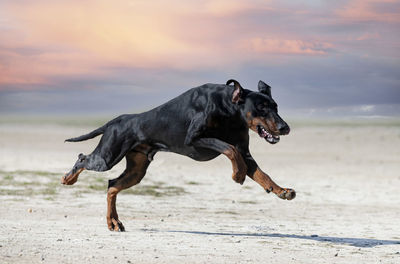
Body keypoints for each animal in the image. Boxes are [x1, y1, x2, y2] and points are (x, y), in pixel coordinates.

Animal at [61, 80, 294, 231]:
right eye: (261, 107)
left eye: (275, 106)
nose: (285, 127)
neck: (229, 108)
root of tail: (113, 121)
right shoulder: (195, 139)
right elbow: (229, 149)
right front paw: (238, 174)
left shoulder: (245, 151)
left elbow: (261, 173)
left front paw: (282, 191)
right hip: (107, 156)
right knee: (83, 158)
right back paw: (68, 178)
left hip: (136, 170)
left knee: (112, 185)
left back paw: (113, 222)